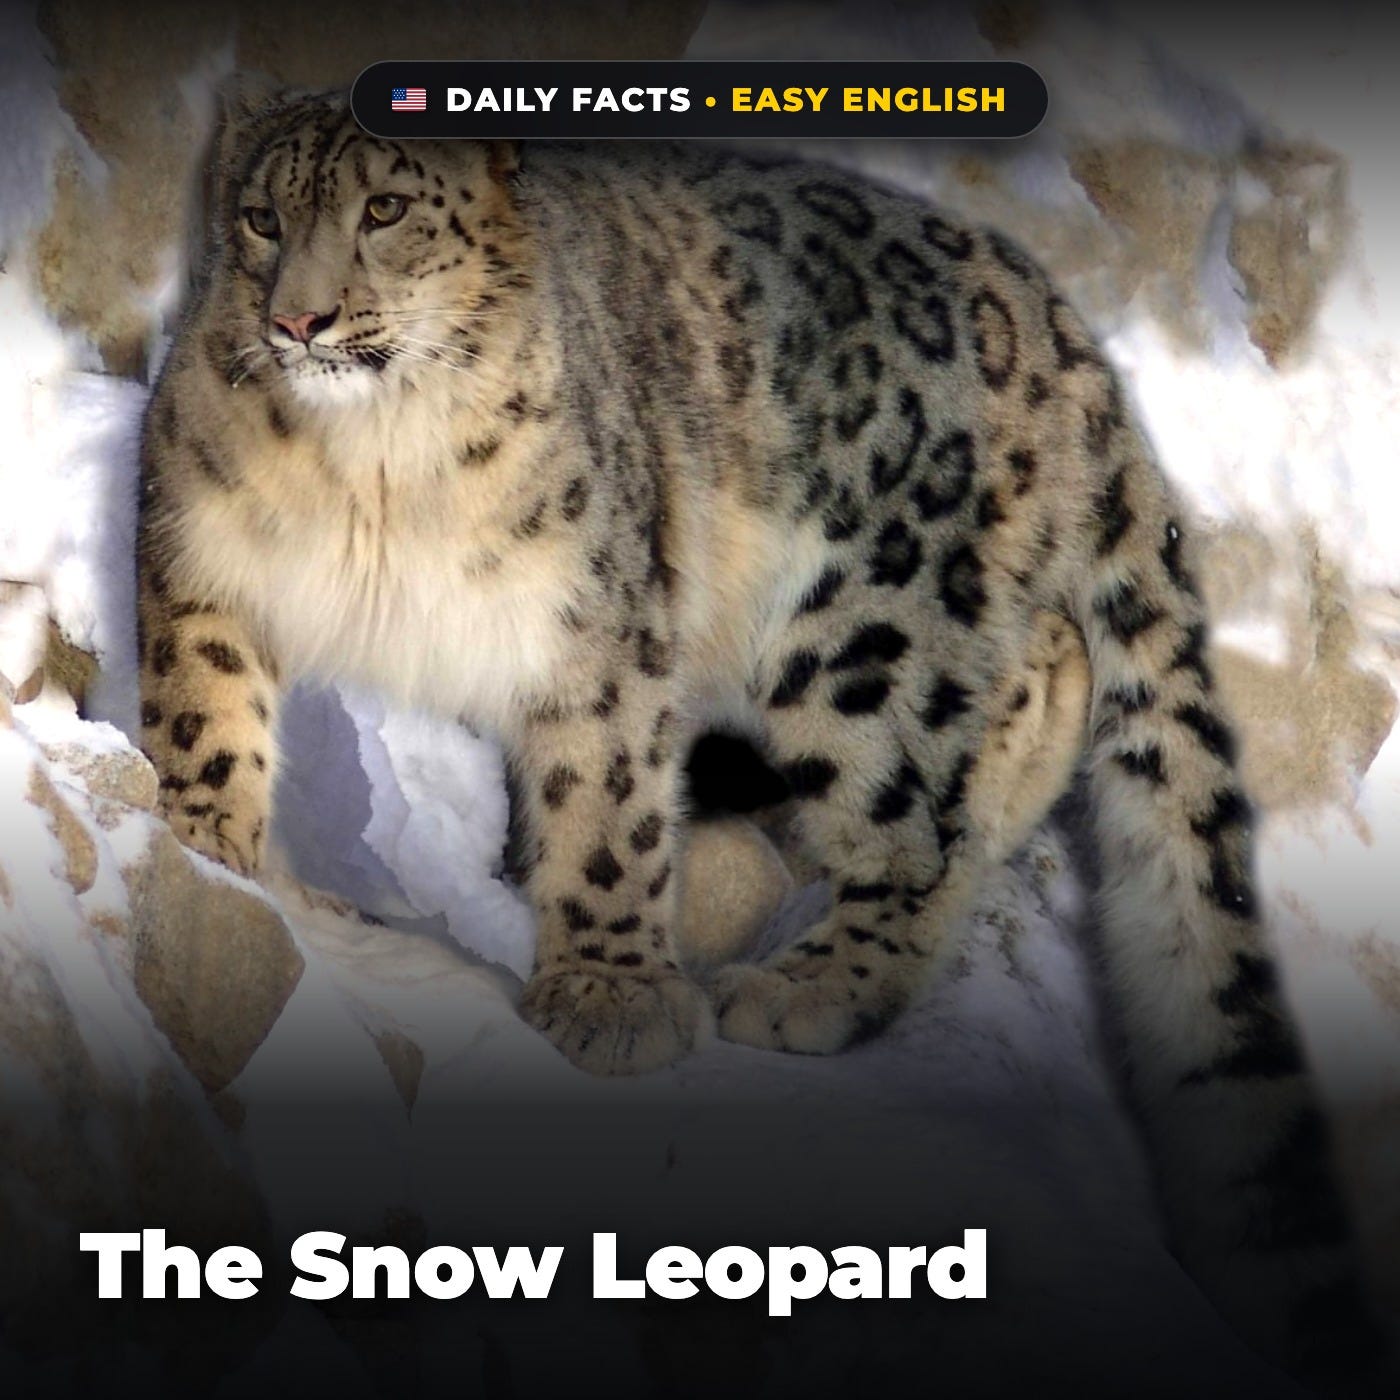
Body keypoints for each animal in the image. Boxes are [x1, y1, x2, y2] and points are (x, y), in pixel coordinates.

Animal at [134, 82, 1387, 1379]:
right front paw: (208, 844)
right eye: (261, 217)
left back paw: (814, 980)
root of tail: (1059, 323)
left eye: (383, 208)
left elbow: (607, 803)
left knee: (935, 792)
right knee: (1050, 666)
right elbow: (204, 710)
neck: (370, 470)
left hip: (866, 634)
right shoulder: (203, 556)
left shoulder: (595, 623)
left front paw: (609, 994)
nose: (299, 317)